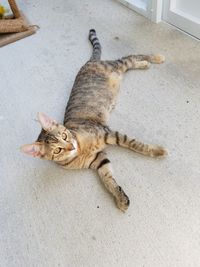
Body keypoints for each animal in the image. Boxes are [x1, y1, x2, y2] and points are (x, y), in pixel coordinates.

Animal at [20, 29, 167, 213]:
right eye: (57, 150)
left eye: (64, 136)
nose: (71, 146)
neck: (82, 148)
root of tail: (90, 61)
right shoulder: (99, 160)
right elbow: (108, 179)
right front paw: (120, 198)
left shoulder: (109, 133)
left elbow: (135, 144)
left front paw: (157, 151)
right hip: (118, 70)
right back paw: (146, 64)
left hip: (117, 65)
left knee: (131, 57)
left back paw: (154, 59)